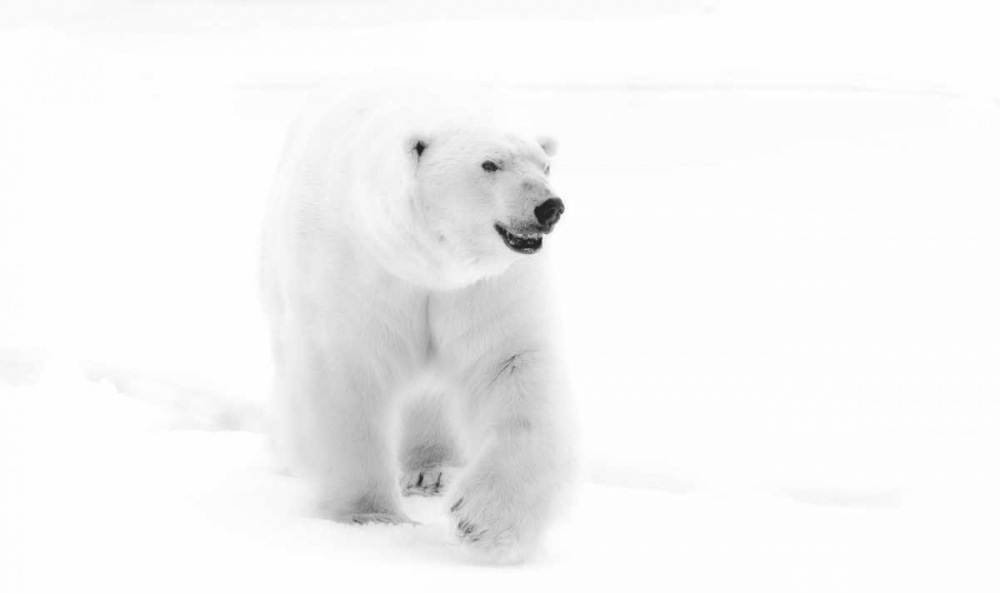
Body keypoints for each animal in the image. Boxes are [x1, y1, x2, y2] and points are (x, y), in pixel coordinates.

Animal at [259, 84, 575, 561]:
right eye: (490, 163)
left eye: (545, 165)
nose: (549, 206)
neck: (425, 262)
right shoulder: (355, 270)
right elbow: (344, 377)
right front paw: (368, 516)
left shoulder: (485, 288)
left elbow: (511, 364)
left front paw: (483, 521)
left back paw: (432, 471)